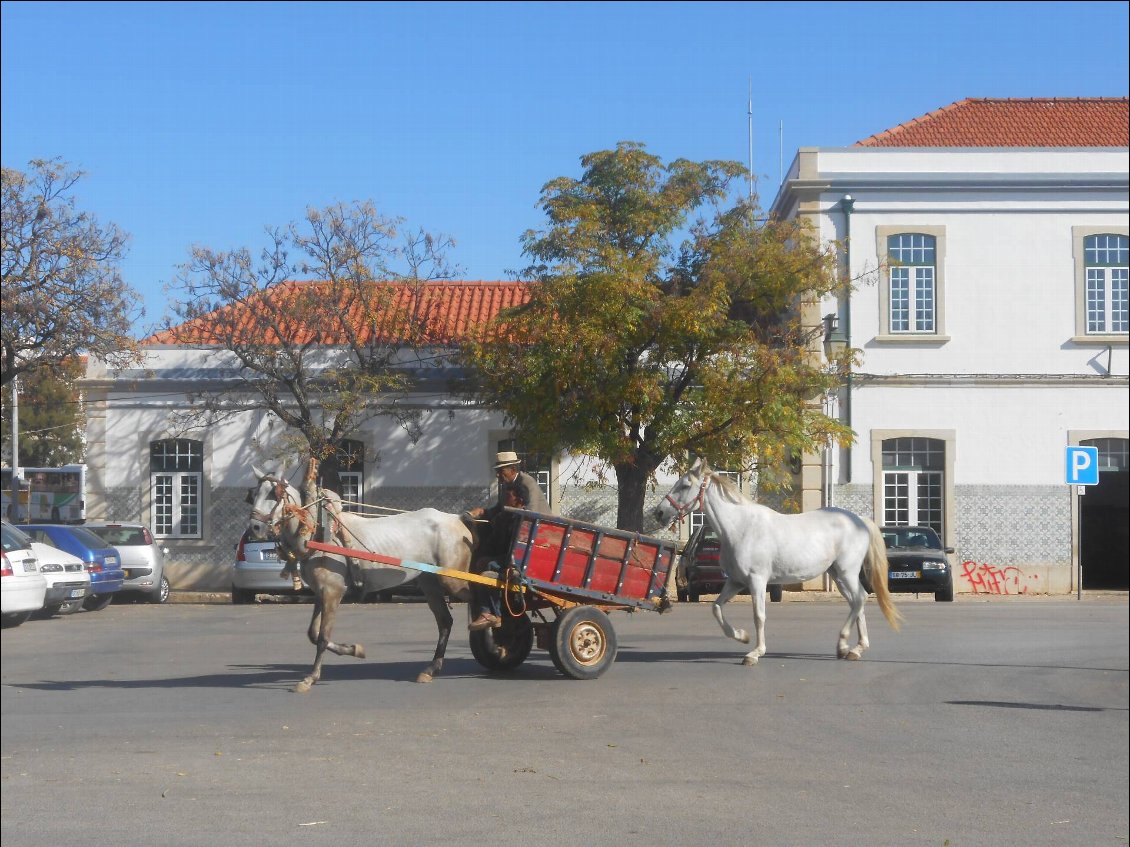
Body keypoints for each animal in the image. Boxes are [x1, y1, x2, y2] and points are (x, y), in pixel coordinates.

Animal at [245, 467, 474, 691]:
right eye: (253, 495)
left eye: (274, 494)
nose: (255, 528)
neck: (316, 531)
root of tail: (456, 518)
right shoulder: (321, 593)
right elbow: (313, 633)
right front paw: (354, 649)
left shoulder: (333, 592)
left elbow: (322, 637)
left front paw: (311, 677)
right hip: (430, 582)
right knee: (445, 622)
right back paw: (431, 669)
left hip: (452, 580)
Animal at [655, 460, 899, 668]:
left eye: (685, 485)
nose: (659, 512)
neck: (740, 528)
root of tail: (861, 521)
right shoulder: (735, 582)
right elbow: (716, 608)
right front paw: (742, 636)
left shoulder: (757, 581)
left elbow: (759, 616)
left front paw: (754, 653)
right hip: (838, 575)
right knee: (857, 602)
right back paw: (851, 649)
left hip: (847, 572)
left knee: (860, 599)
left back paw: (847, 645)